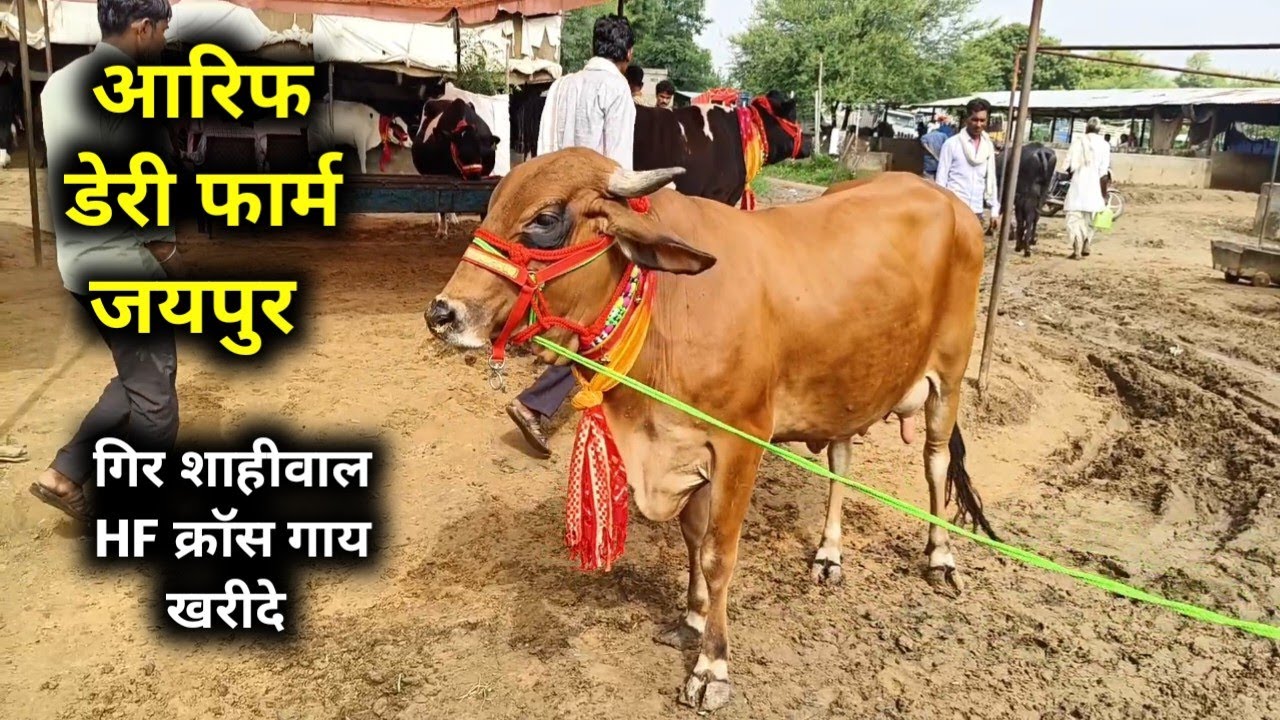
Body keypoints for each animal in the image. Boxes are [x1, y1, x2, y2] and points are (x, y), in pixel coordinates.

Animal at [413, 98, 501, 238]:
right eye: (459, 154)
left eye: (480, 153)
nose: (474, 176)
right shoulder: (439, 177)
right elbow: (441, 206)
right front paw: (442, 231)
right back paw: (437, 220)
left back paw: (453, 219)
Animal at [424, 148, 998, 712]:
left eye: (544, 220)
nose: (442, 313)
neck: (667, 308)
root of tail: (946, 199)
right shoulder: (683, 444)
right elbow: (693, 538)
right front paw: (693, 618)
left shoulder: (739, 443)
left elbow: (718, 554)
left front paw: (712, 667)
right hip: (852, 380)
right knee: (840, 460)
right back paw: (829, 553)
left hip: (949, 376)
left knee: (935, 460)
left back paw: (940, 556)